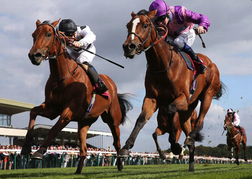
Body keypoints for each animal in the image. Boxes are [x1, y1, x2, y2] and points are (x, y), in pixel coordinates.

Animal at [20, 19, 133, 173]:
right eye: (33, 35)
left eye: (49, 34)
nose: (34, 55)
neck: (62, 77)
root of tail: (111, 83)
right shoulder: (52, 108)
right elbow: (33, 112)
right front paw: (26, 146)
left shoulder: (68, 112)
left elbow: (54, 129)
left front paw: (39, 152)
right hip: (84, 122)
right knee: (84, 149)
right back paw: (78, 171)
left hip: (113, 120)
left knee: (117, 143)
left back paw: (121, 165)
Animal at [120, 9, 224, 172]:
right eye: (128, 25)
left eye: (145, 25)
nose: (128, 47)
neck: (163, 65)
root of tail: (210, 62)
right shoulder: (151, 98)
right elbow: (141, 119)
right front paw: (125, 147)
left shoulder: (183, 98)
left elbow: (169, 110)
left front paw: (174, 146)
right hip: (188, 111)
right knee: (190, 135)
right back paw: (191, 165)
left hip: (207, 94)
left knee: (200, 122)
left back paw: (190, 139)